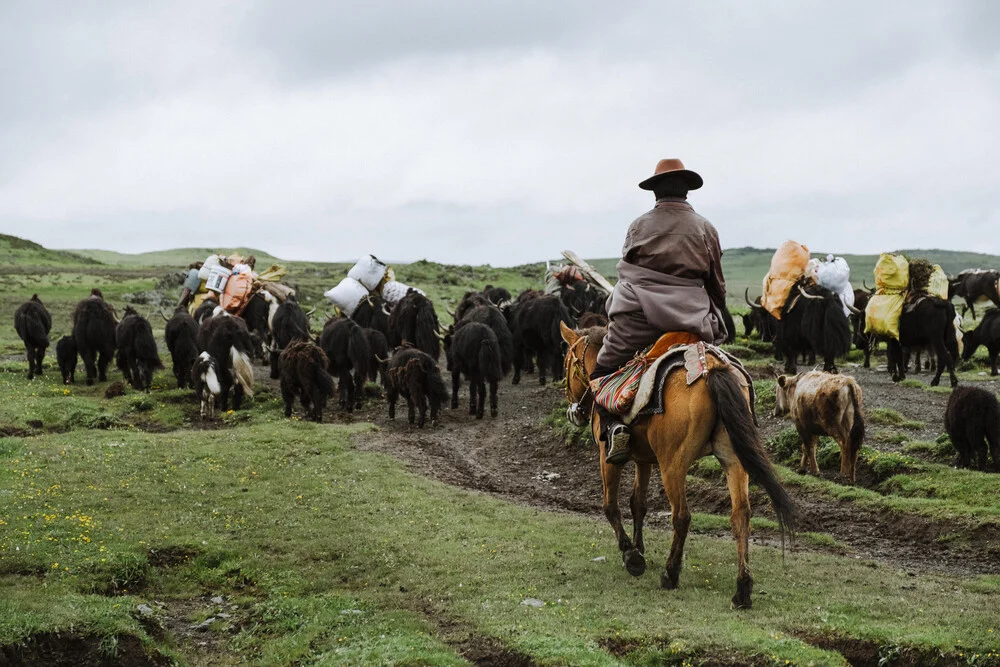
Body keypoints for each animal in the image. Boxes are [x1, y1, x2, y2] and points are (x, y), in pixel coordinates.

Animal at [560, 324, 792, 612]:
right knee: (741, 516)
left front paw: (631, 554)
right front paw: (638, 547)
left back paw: (670, 574)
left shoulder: (608, 458)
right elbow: (638, 504)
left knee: (681, 516)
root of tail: (711, 367)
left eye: (565, 363)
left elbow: (610, 506)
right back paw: (742, 589)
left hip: (672, 464)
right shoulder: (644, 460)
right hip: (733, 460)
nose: (574, 411)